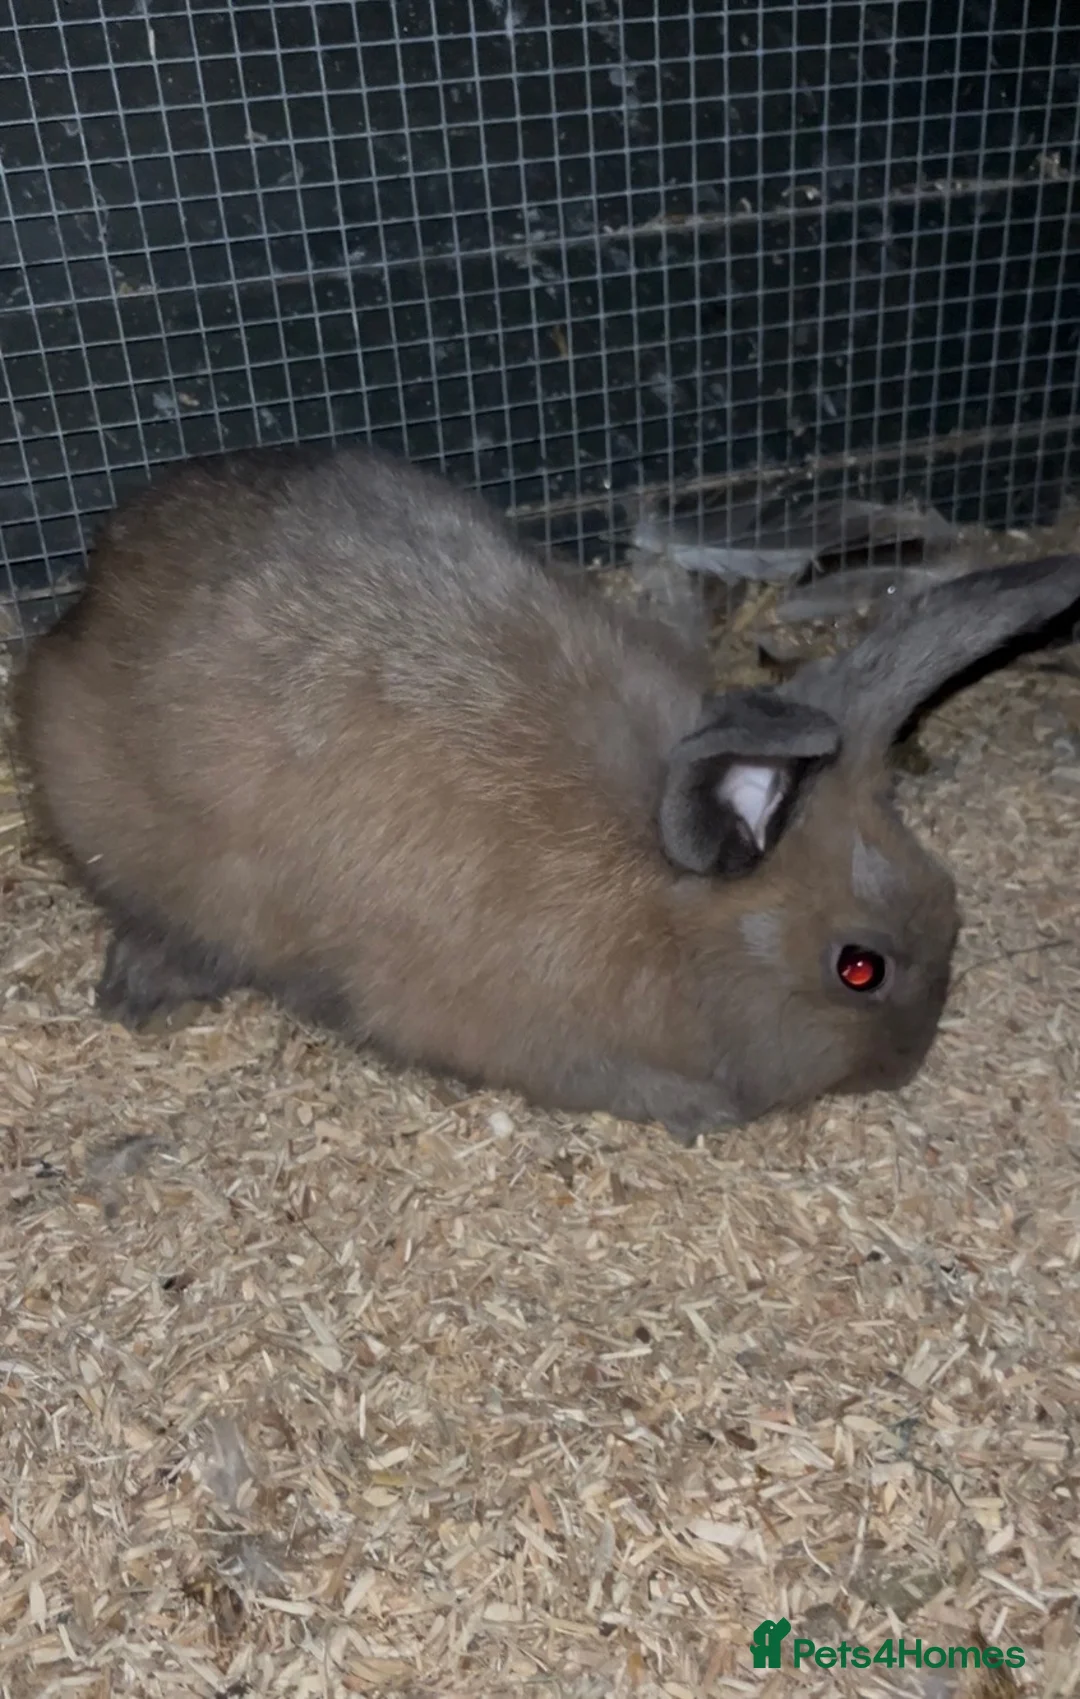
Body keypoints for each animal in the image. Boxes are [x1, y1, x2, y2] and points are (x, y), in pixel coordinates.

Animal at [16, 440, 1080, 1144]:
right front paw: (705, 1111)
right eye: (860, 969)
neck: (659, 892)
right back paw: (139, 988)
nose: (907, 1065)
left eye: (951, 900)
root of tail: (87, 604)